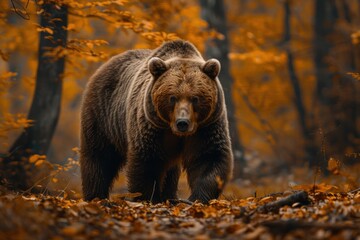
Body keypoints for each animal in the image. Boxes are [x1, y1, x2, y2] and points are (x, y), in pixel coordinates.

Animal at [79, 39, 233, 202]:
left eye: (195, 98)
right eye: (172, 97)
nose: (182, 122)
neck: (174, 130)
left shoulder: (207, 125)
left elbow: (208, 157)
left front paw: (197, 198)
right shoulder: (151, 125)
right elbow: (147, 161)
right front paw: (147, 198)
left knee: (171, 171)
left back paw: (170, 196)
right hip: (103, 116)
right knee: (99, 156)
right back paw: (96, 197)